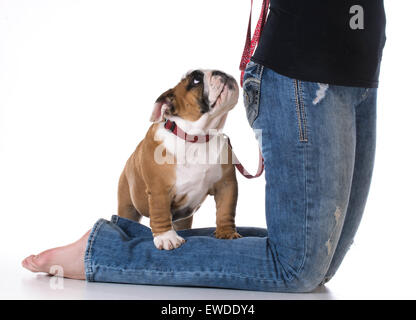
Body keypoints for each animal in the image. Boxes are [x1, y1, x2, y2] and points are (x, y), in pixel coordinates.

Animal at [117, 69, 240, 250]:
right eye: (196, 79)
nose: (221, 72)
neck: (197, 138)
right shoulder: (159, 189)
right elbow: (160, 213)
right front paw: (166, 238)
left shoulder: (226, 185)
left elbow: (226, 210)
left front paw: (227, 232)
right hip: (127, 206)